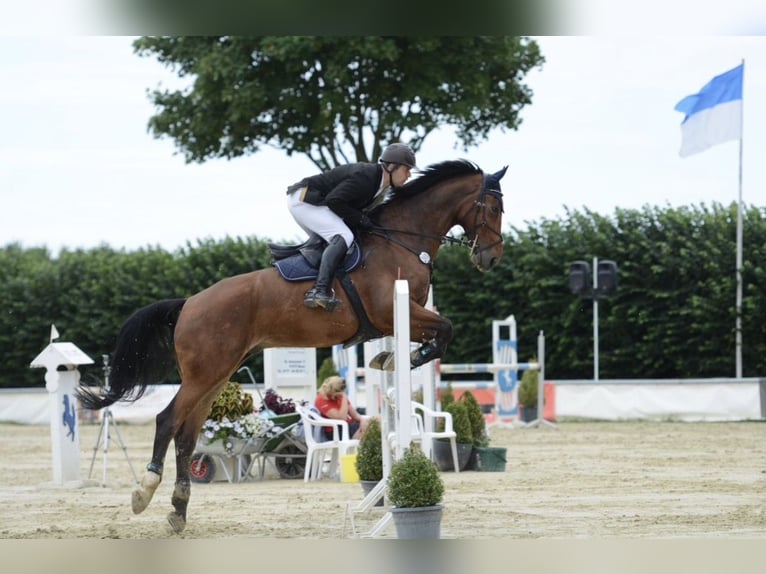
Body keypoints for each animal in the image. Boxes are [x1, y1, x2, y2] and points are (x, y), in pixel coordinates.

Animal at [76, 159, 507, 533]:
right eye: (493, 207)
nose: (491, 258)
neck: (401, 240)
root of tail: (189, 304)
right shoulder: (393, 312)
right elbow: (445, 330)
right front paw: (400, 358)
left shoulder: (402, 319)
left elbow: (439, 334)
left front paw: (392, 358)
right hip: (204, 374)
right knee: (167, 421)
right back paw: (144, 493)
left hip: (215, 375)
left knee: (186, 434)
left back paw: (179, 511)